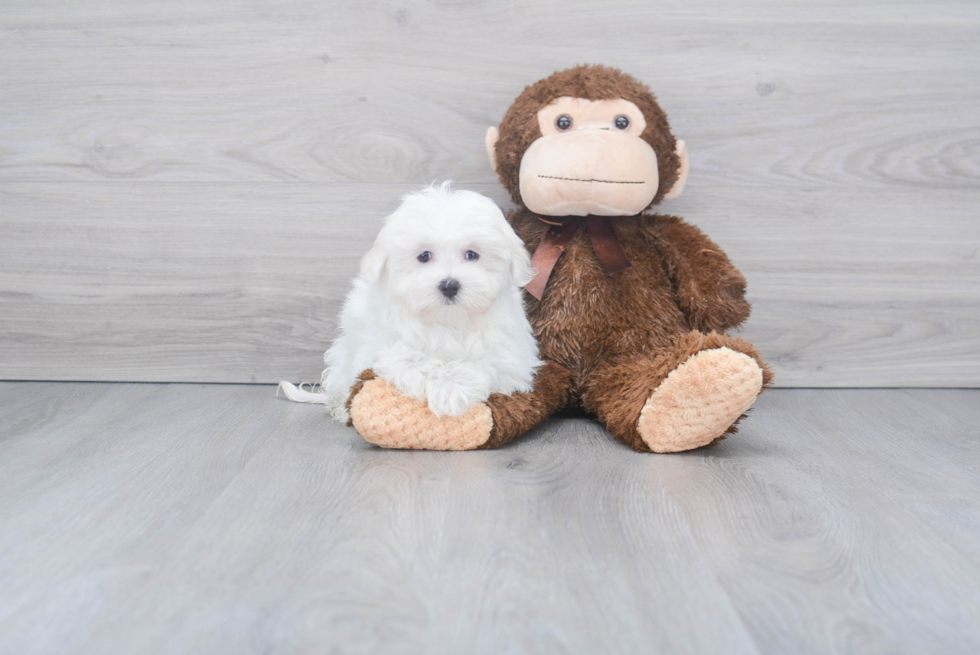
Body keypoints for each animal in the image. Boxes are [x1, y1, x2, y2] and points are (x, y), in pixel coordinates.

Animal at [282, 182, 544, 422]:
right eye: (424, 256)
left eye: (472, 255)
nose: (449, 285)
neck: (447, 321)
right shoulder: (373, 343)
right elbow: (396, 353)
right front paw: (419, 375)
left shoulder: (513, 361)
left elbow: (484, 363)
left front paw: (449, 388)